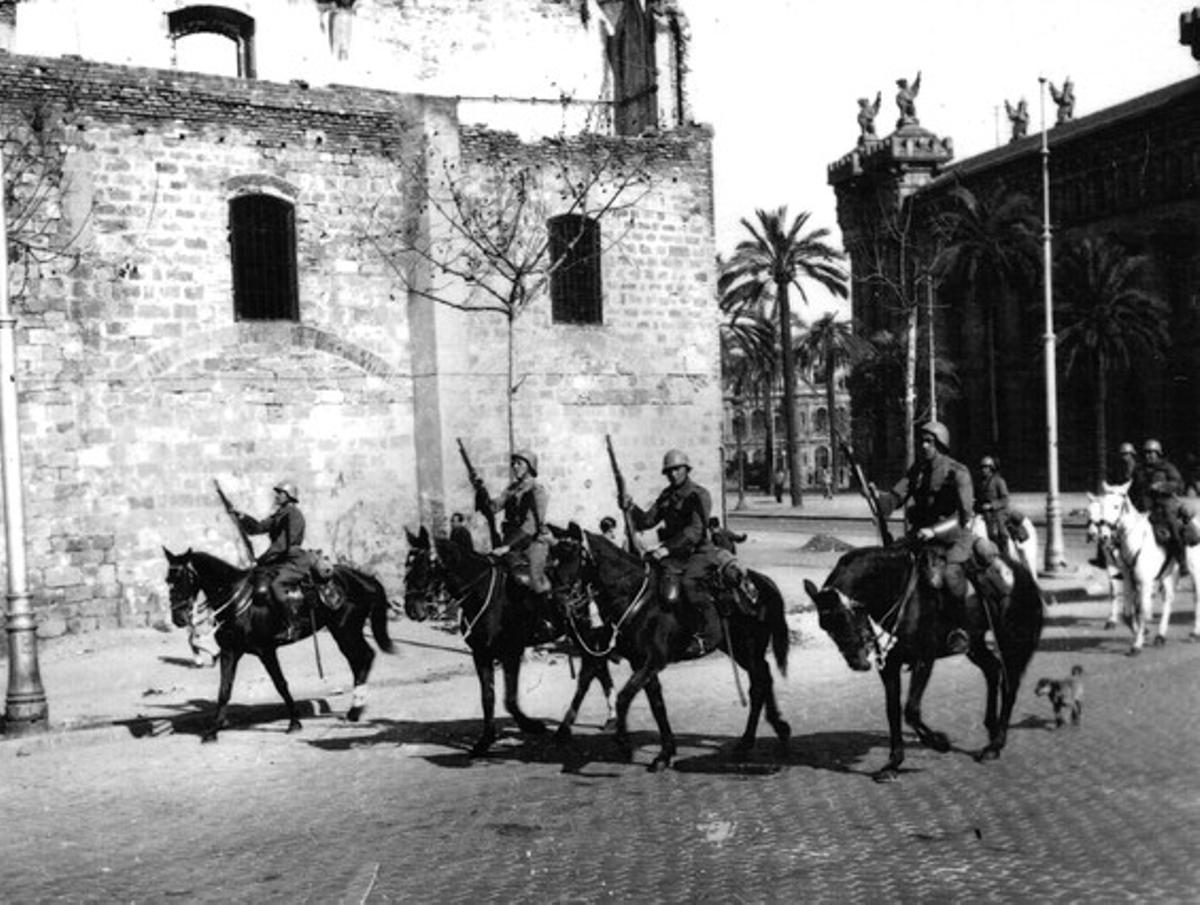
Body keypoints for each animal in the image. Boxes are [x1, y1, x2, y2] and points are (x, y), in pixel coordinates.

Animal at [163, 547, 393, 734]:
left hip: (346, 630)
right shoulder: (230, 651)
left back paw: (355, 711)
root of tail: (365, 578)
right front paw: (213, 731)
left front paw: (294, 723)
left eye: (182, 578)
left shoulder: (265, 651)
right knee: (360, 660)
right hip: (346, 632)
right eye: (168, 580)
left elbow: (280, 684)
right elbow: (224, 690)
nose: (178, 618)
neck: (236, 600)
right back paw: (356, 709)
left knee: (363, 657)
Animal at [403, 525, 614, 758]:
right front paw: (485, 740)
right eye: (407, 564)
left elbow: (510, 699)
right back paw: (610, 717)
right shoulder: (481, 654)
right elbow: (488, 697)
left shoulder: (511, 652)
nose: (412, 609)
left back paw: (571, 727)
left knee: (591, 670)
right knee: (598, 666)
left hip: (585, 631)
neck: (483, 592)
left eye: (426, 566)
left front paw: (531, 725)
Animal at [549, 525, 792, 772]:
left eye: (573, 558)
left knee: (759, 683)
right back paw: (770, 732)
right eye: (552, 563)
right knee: (763, 678)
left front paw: (624, 743)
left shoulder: (653, 660)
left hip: (749, 647)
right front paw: (664, 753)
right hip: (740, 650)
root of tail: (760, 581)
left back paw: (754, 739)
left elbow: (624, 697)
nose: (558, 605)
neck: (637, 598)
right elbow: (656, 704)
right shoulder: (640, 663)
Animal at [801, 540, 1046, 777]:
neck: (898, 591)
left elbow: (911, 710)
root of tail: (1022, 573)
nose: (857, 662)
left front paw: (939, 742)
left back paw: (995, 745)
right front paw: (893, 763)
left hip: (1011, 642)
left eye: (845, 616)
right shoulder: (889, 666)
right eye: (825, 626)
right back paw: (992, 731)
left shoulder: (923, 660)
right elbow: (893, 710)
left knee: (1010, 686)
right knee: (993, 670)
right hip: (975, 644)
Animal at [1089, 482, 1200, 652]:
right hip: (1168, 575)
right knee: (1168, 600)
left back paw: (1195, 633)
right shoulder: (1128, 579)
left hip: (1195, 571)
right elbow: (1128, 612)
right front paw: (1141, 633)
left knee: (1196, 597)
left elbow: (1141, 610)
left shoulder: (1145, 582)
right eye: (1101, 505)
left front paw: (1137, 644)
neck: (1135, 542)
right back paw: (1160, 636)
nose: (1103, 535)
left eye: (1116, 506)